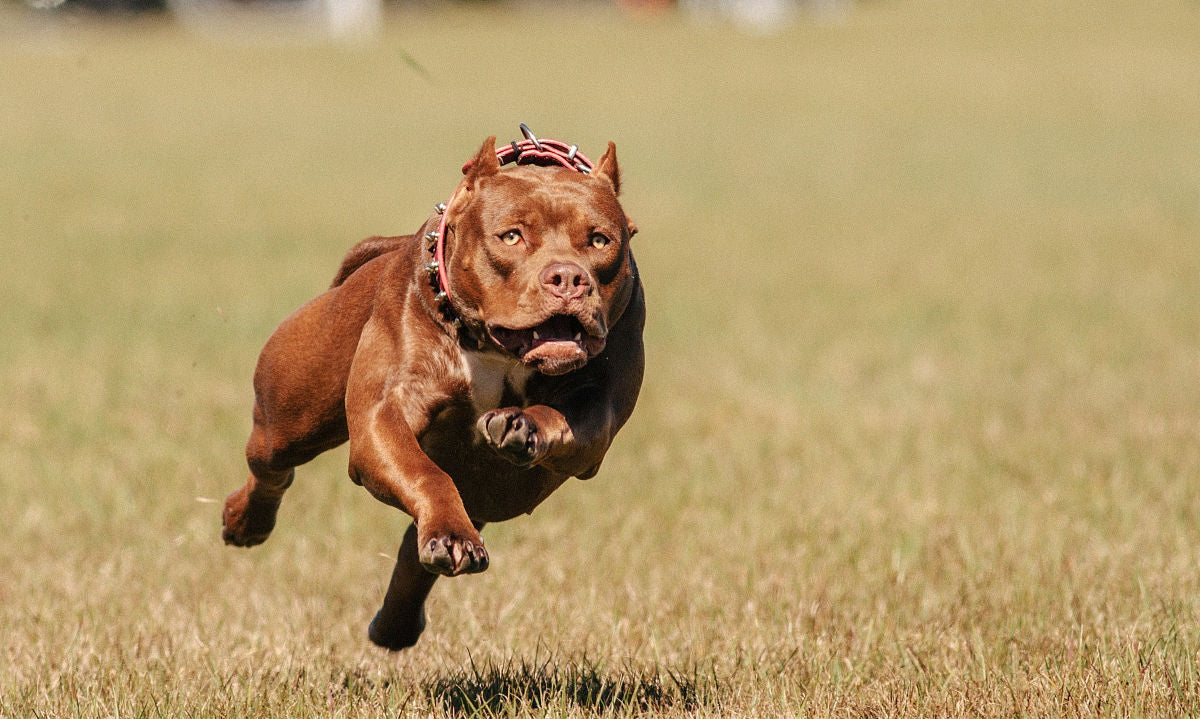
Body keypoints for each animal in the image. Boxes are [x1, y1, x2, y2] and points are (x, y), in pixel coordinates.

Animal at [219, 129, 643, 652]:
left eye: (600, 240)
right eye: (512, 236)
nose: (567, 277)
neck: (496, 349)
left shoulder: (598, 418)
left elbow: (566, 421)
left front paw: (522, 426)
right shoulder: (384, 419)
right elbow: (425, 475)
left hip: (484, 489)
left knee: (417, 543)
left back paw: (399, 618)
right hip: (291, 412)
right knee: (271, 464)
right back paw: (246, 522)